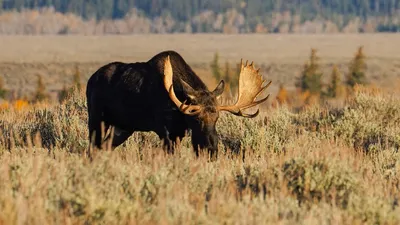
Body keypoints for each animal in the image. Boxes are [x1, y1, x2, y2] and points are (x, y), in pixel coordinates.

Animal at [85, 50, 270, 158]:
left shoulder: (179, 132)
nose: (211, 149)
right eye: (196, 118)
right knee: (92, 148)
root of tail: (90, 79)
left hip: (122, 127)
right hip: (96, 119)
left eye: (217, 118)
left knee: (105, 147)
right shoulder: (165, 130)